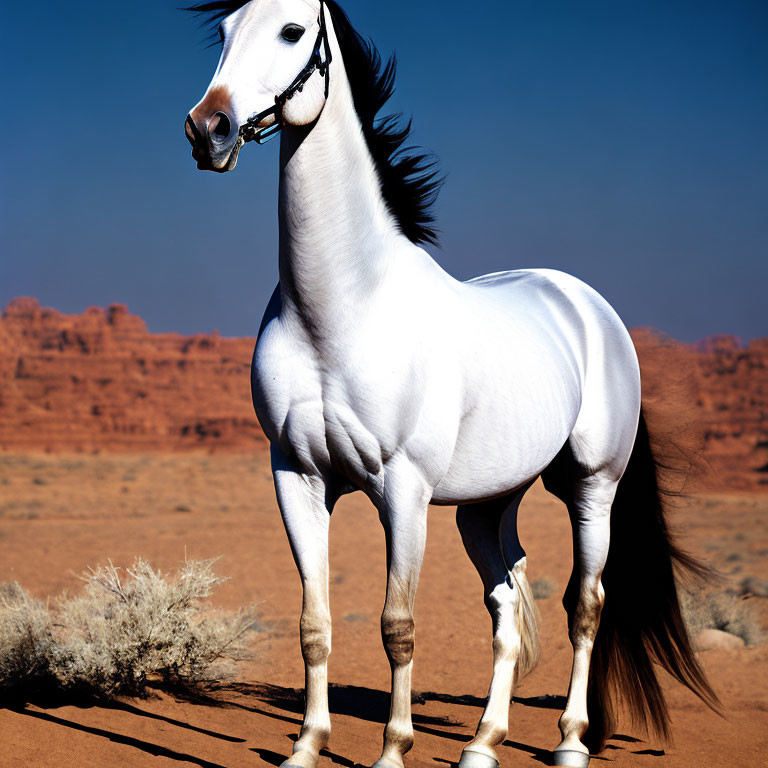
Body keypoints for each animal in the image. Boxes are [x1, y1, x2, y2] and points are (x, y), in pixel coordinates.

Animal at [184, 3, 712, 764]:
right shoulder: (297, 478)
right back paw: (483, 742)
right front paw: (307, 745)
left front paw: (392, 749)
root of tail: (590, 309)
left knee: (585, 605)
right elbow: (315, 623)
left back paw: (570, 741)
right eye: (223, 30)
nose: (208, 129)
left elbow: (397, 625)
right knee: (507, 601)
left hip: (592, 487)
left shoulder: (402, 490)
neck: (341, 308)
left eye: (292, 31)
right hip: (485, 507)